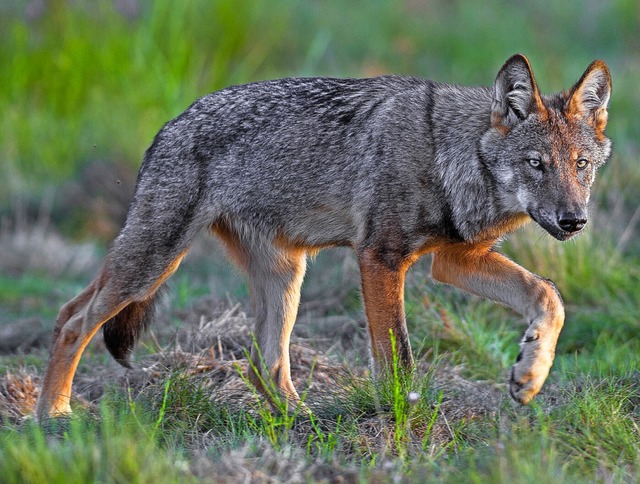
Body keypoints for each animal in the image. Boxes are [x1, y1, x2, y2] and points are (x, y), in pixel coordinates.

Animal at [33, 52, 608, 416]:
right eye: (536, 164)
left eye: (580, 165)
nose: (574, 221)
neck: (447, 156)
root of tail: (167, 127)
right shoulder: (380, 258)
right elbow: (399, 358)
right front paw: (401, 426)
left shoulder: (455, 260)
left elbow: (549, 296)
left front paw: (529, 376)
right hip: (155, 262)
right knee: (70, 319)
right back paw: (53, 417)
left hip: (284, 277)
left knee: (264, 363)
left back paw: (302, 421)